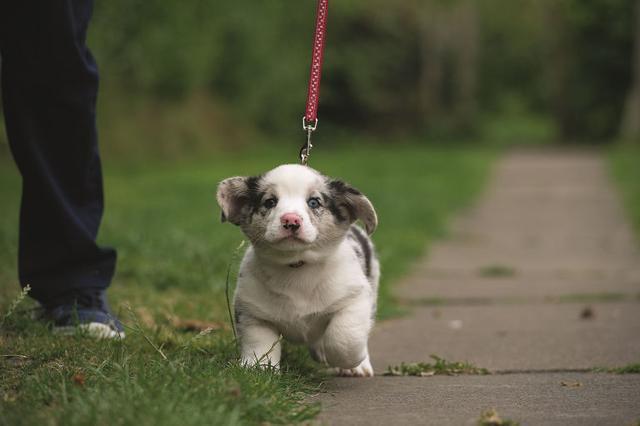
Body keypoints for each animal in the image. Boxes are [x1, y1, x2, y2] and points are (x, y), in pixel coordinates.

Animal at [218, 163, 380, 376]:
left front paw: (353, 362)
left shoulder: (355, 299)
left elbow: (344, 339)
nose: (291, 221)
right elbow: (259, 345)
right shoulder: (254, 313)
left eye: (314, 202)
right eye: (270, 202)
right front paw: (258, 369)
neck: (297, 266)